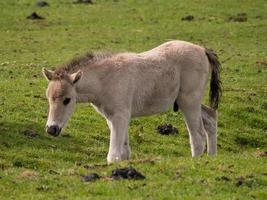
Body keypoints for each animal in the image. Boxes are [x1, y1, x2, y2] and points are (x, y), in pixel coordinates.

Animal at [42, 39, 222, 163]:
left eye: (67, 100)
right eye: (48, 98)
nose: (52, 129)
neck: (105, 79)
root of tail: (203, 49)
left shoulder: (120, 115)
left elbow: (113, 155)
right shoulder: (112, 117)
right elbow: (124, 151)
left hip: (189, 102)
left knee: (197, 136)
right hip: (190, 102)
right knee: (211, 118)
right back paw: (211, 158)